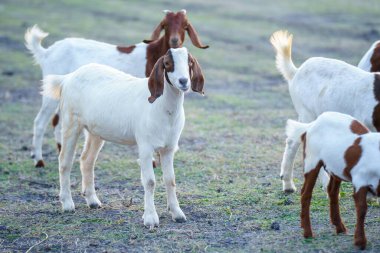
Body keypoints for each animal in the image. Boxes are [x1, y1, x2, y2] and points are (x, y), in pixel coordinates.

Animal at [25, 9, 209, 168]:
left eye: (185, 25)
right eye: (165, 25)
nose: (175, 41)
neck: (153, 53)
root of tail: (47, 52)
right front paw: (151, 161)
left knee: (56, 121)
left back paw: (57, 149)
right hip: (51, 94)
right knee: (40, 121)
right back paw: (39, 160)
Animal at [41, 47, 205, 229]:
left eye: (190, 62)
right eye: (168, 63)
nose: (183, 81)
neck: (163, 108)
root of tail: (67, 78)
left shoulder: (169, 148)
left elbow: (171, 180)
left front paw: (177, 213)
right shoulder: (145, 146)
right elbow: (149, 181)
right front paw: (150, 218)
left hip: (95, 131)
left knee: (86, 160)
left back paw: (92, 201)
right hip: (71, 122)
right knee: (65, 161)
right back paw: (67, 203)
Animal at [286, 111, 378, 250]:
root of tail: (313, 124)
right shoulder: (360, 180)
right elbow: (362, 208)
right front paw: (360, 241)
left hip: (336, 166)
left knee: (332, 191)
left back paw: (339, 226)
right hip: (312, 160)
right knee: (306, 194)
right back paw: (308, 233)